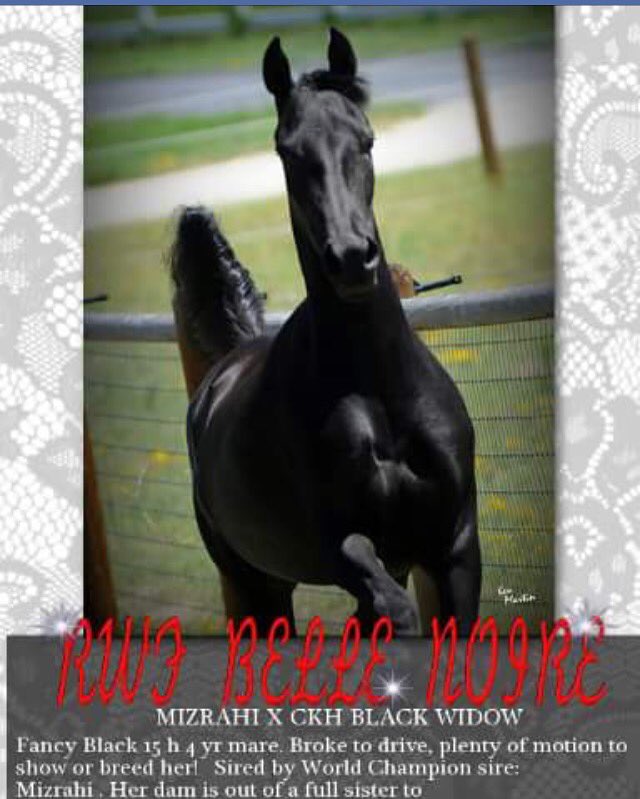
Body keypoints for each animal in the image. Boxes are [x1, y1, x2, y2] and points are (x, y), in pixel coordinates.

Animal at [171, 29, 481, 636]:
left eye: (367, 140)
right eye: (288, 151)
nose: (353, 258)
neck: (379, 391)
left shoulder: (454, 546)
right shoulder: (336, 547)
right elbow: (380, 587)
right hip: (258, 585)